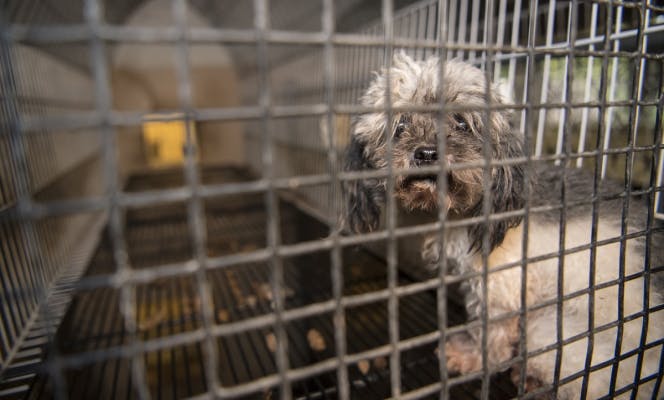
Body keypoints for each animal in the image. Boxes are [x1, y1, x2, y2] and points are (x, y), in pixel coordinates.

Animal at [344, 51, 660, 398]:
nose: (425, 152)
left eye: (461, 122)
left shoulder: (500, 287)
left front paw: (470, 356)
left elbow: (492, 337)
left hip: (549, 331)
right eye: (400, 124)